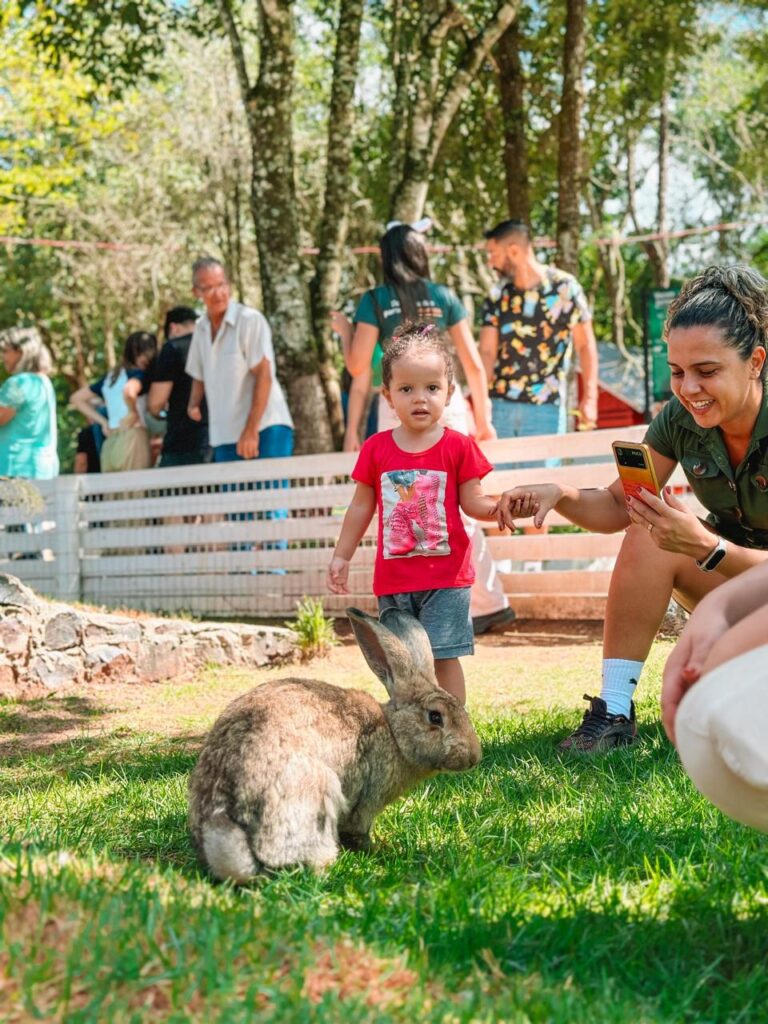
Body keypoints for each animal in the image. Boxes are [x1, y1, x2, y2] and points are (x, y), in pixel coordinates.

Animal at [188, 606, 481, 880]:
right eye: (435, 717)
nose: (474, 756)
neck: (394, 734)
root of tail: (230, 831)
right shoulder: (367, 799)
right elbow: (359, 829)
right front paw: (378, 849)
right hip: (317, 794)